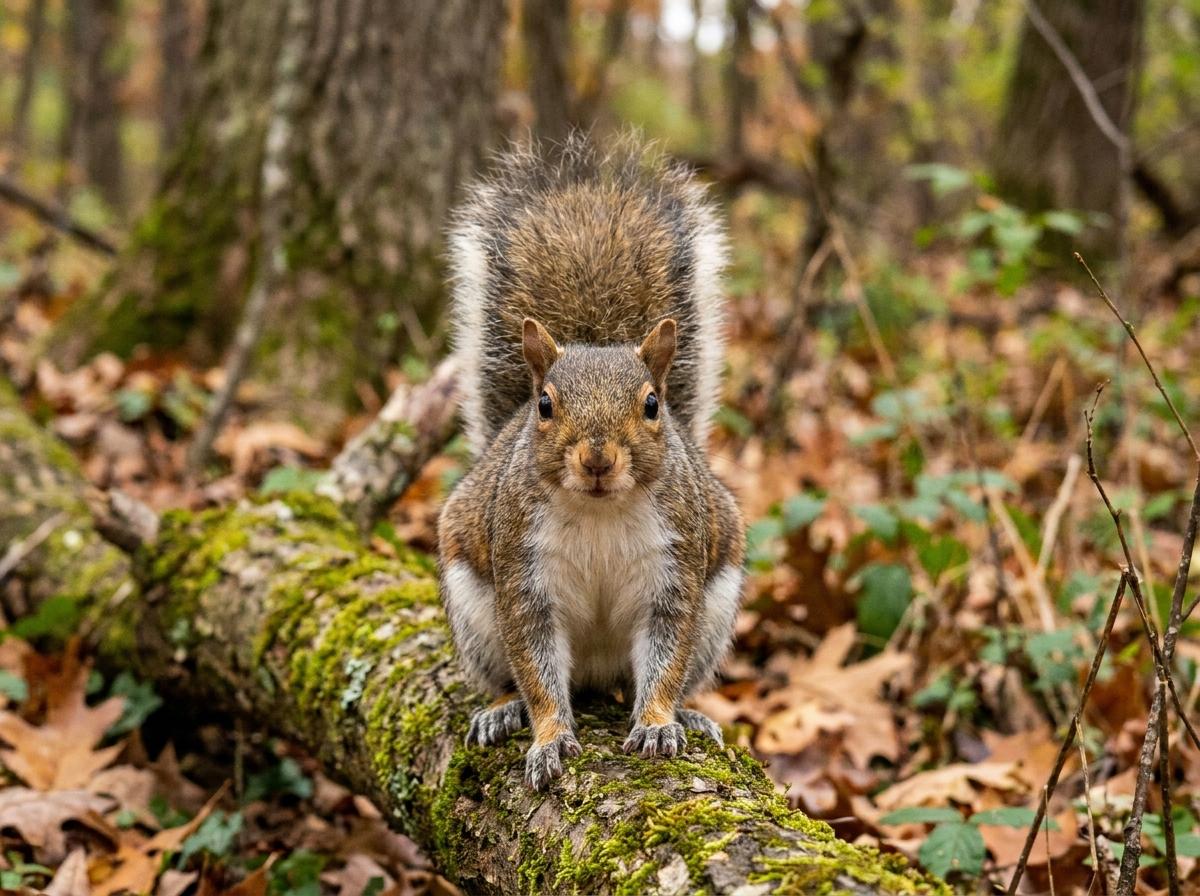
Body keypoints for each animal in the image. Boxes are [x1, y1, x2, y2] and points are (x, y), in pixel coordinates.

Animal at [437, 134, 745, 790]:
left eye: (652, 404)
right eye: (545, 405)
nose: (598, 458)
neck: (601, 512)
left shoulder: (677, 567)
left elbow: (665, 656)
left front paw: (657, 723)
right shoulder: (521, 572)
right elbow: (536, 668)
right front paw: (550, 737)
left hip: (717, 605)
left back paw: (688, 712)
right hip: (474, 613)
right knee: (511, 676)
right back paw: (502, 710)